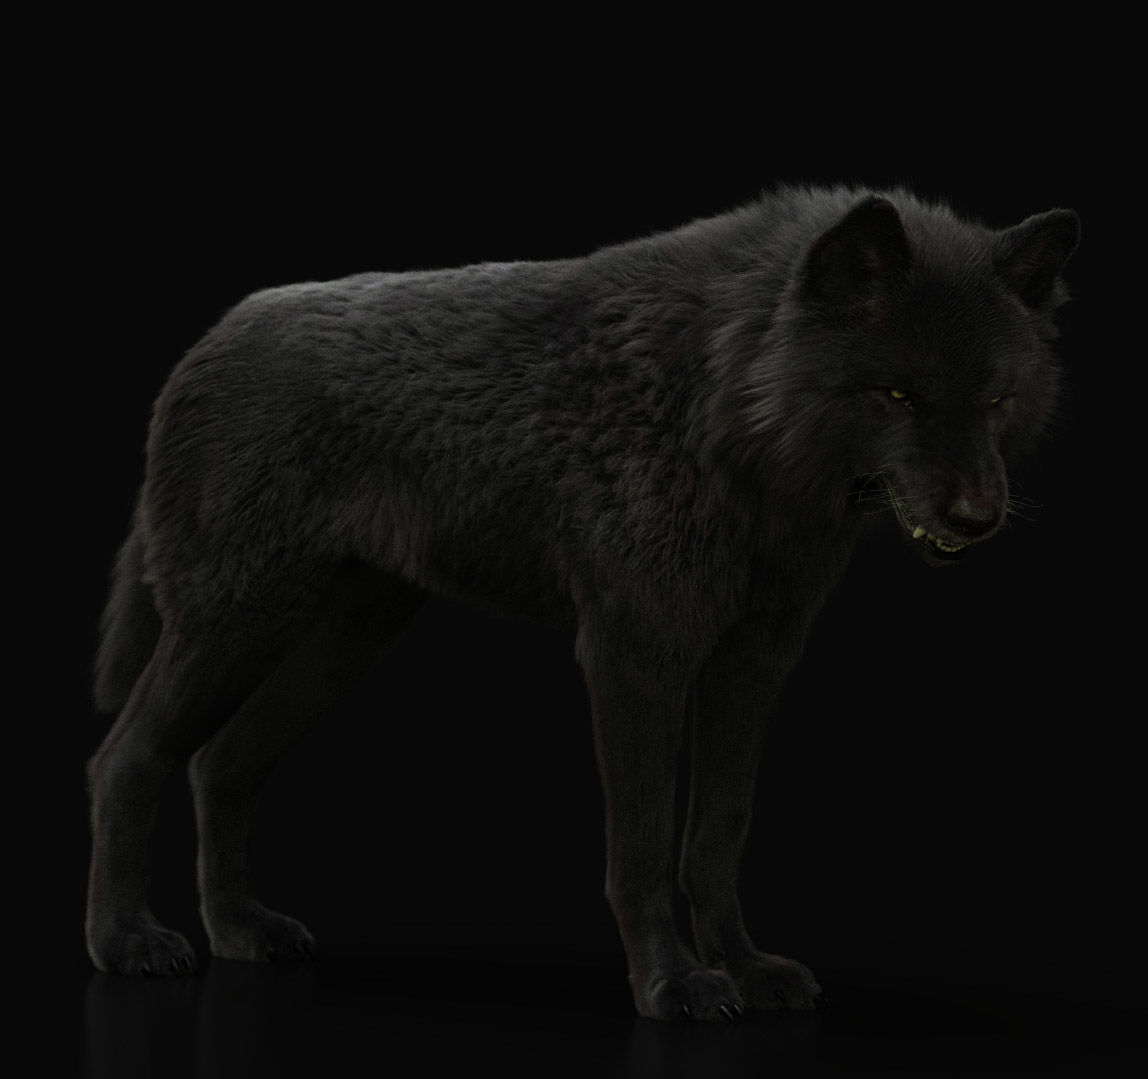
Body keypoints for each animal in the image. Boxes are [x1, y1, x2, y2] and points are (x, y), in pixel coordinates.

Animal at [87, 185, 1078, 1020]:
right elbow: (639, 845)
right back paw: (127, 942)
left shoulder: (752, 664)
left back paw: (240, 932)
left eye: (997, 399)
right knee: (125, 757)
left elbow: (716, 834)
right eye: (897, 394)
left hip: (340, 643)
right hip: (235, 625)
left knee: (220, 763)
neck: (721, 405)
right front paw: (674, 983)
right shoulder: (635, 653)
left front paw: (745, 968)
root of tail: (206, 340)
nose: (978, 516)